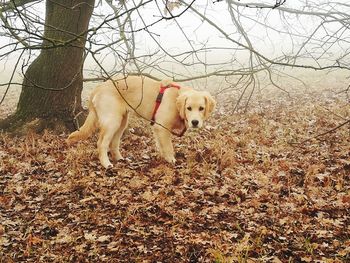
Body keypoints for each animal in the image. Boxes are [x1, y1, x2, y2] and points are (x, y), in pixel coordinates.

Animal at [67, 75, 216, 169]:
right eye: (188, 108)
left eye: (201, 108)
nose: (195, 122)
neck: (176, 100)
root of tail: (98, 87)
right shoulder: (162, 127)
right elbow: (168, 147)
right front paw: (172, 160)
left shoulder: (158, 129)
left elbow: (161, 146)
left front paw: (163, 158)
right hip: (112, 120)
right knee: (101, 143)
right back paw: (106, 163)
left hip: (122, 121)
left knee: (114, 142)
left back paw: (119, 158)